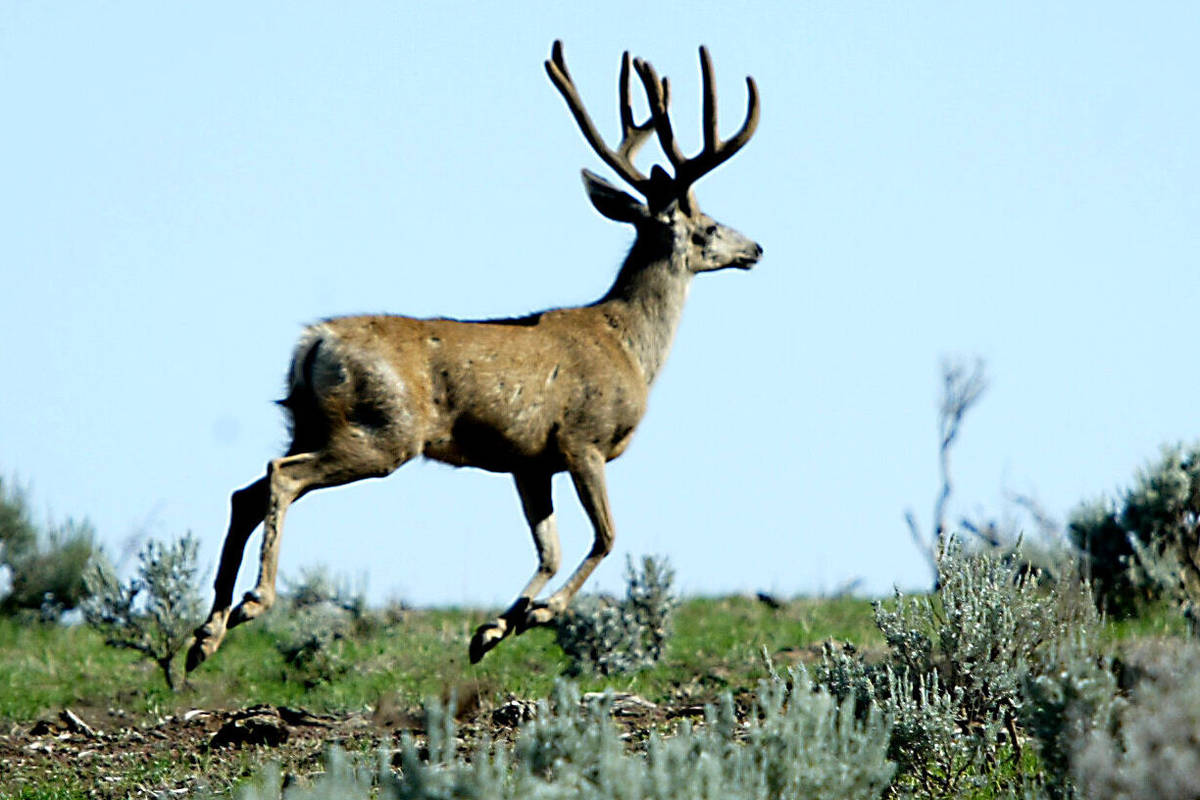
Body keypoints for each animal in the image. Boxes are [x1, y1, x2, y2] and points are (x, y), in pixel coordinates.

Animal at [192, 40, 763, 671]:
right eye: (708, 227)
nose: (756, 248)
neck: (631, 345)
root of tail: (313, 340)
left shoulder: (529, 460)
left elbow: (549, 549)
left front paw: (493, 629)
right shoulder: (582, 439)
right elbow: (606, 536)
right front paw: (537, 614)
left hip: (308, 422)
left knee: (245, 492)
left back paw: (206, 634)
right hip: (382, 431)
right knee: (280, 477)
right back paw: (252, 603)